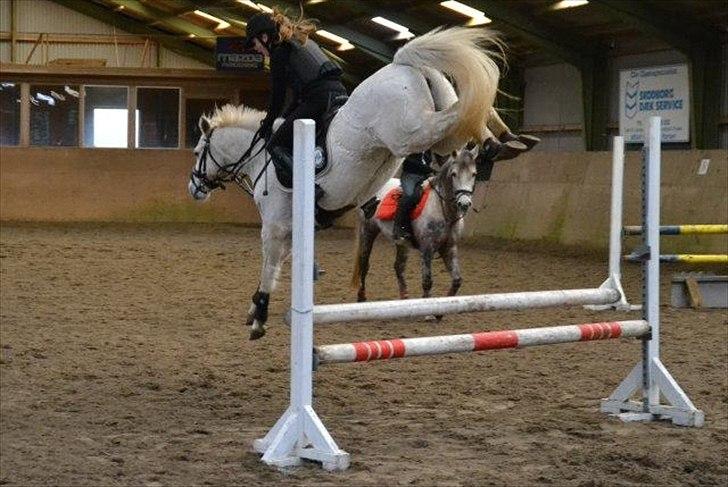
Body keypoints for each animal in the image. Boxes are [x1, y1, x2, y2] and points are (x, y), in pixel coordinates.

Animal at [351, 146, 479, 306]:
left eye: (474, 174)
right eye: (454, 174)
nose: (464, 204)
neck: (443, 210)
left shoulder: (449, 248)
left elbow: (457, 280)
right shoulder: (427, 248)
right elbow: (427, 282)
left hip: (401, 242)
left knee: (398, 267)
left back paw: (404, 297)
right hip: (367, 231)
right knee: (364, 264)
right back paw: (361, 297)